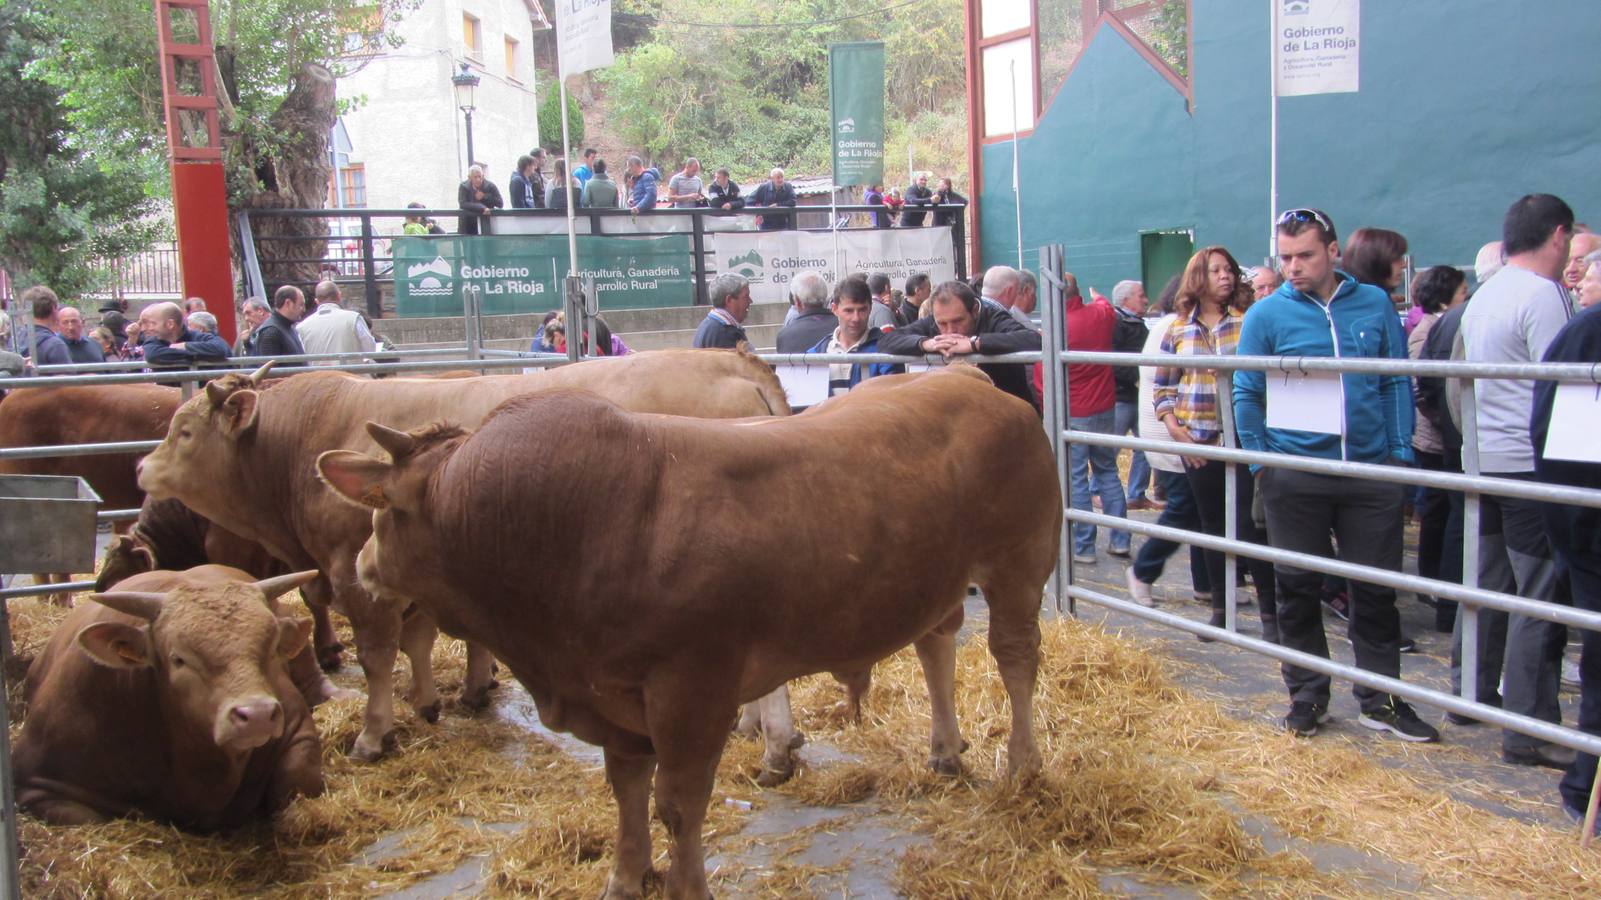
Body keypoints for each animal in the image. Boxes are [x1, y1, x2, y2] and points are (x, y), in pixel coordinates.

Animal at [14, 566, 321, 826]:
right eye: (178, 659)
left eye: (272, 648)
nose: (257, 716)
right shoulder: (35, 783)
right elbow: (90, 819)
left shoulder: (298, 730)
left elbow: (296, 785)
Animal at [140, 350, 790, 755]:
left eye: (184, 431)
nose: (142, 466)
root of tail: (733, 360)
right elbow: (423, 638)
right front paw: (440, 698)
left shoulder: (354, 571)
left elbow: (379, 654)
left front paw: (376, 734)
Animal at [316, 368, 1056, 890]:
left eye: (385, 510)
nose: (362, 563)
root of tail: (968, 379)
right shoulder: (615, 700)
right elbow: (626, 789)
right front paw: (625, 876)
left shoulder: (691, 691)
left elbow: (678, 805)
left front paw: (681, 881)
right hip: (935, 577)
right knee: (937, 642)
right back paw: (945, 750)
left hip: (1018, 562)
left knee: (1015, 657)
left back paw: (1022, 764)